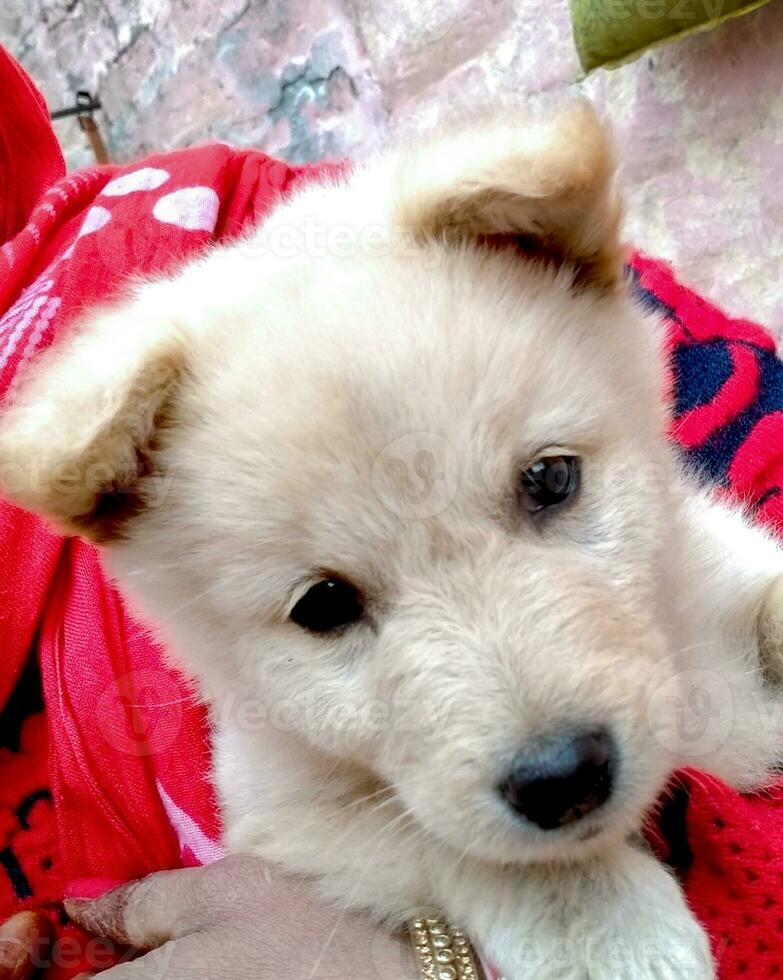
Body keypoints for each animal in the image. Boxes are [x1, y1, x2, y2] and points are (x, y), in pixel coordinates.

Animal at [1, 101, 783, 980]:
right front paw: (603, 929)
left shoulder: (726, 568)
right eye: (323, 605)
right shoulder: (279, 810)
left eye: (550, 480)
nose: (563, 779)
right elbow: (439, 838)